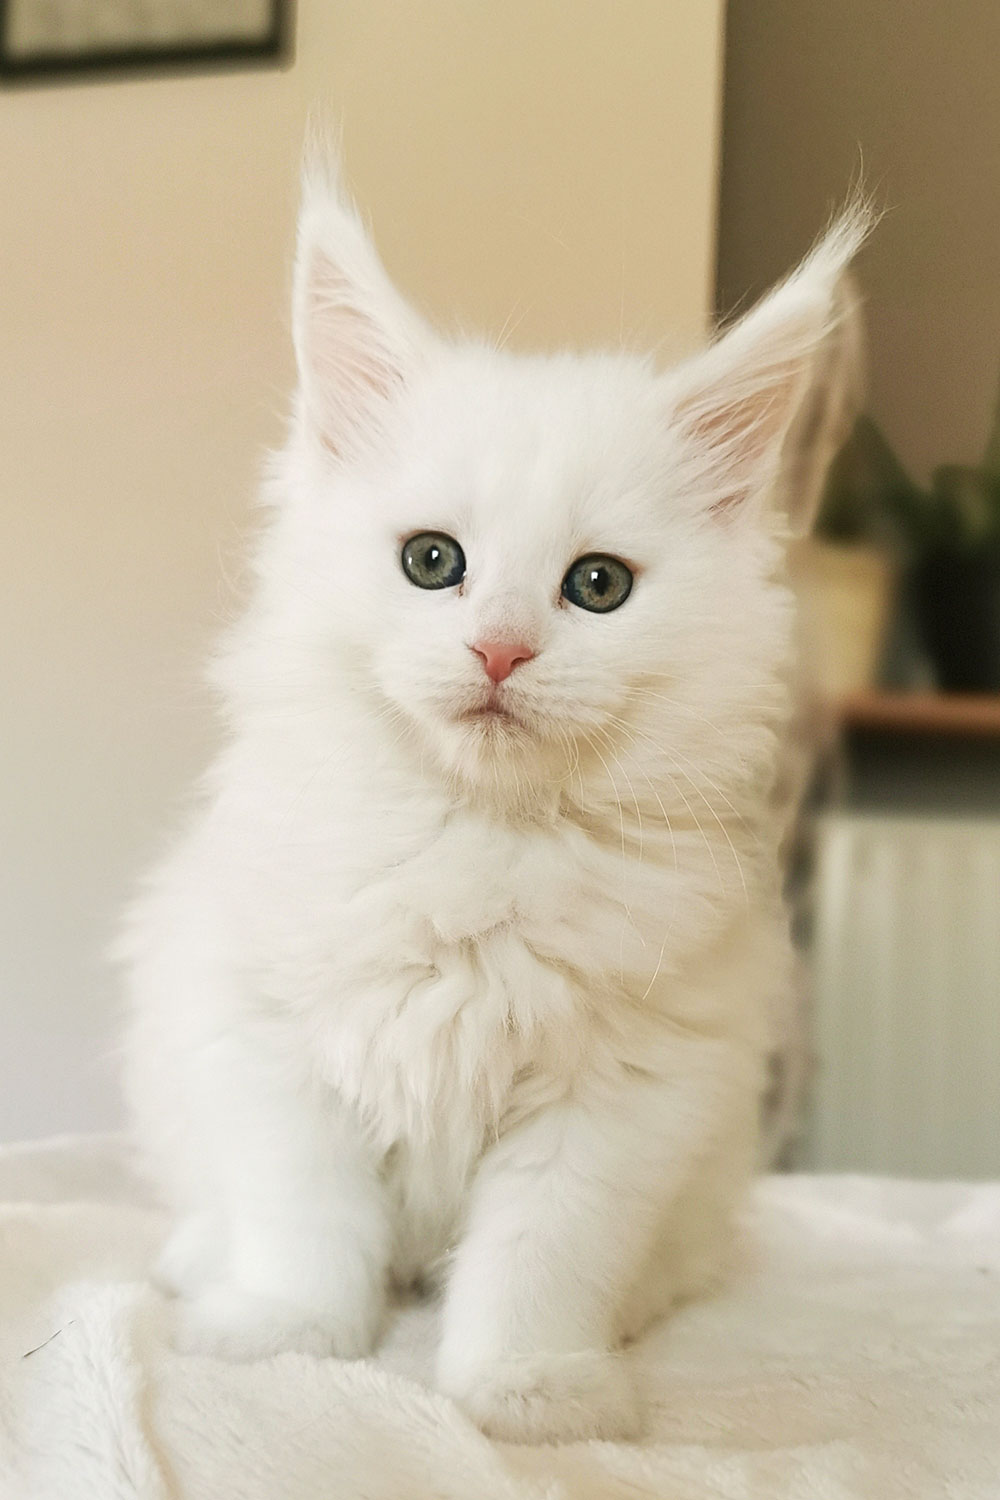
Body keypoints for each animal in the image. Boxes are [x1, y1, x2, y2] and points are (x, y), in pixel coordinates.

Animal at [119, 151, 868, 1444]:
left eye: (597, 586)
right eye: (433, 562)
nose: (501, 652)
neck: (480, 842)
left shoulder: (621, 1099)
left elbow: (538, 1263)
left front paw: (531, 1392)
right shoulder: (265, 1036)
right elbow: (303, 1218)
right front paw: (289, 1336)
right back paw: (205, 1268)